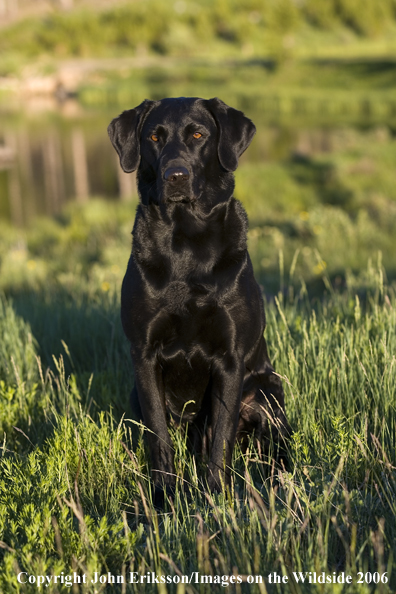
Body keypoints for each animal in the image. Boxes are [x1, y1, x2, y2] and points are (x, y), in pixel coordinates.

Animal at [108, 97, 290, 504]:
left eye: (198, 135)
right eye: (154, 137)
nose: (175, 175)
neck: (185, 239)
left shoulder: (230, 359)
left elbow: (220, 437)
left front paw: (216, 496)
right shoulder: (143, 355)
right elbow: (158, 437)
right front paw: (163, 497)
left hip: (267, 392)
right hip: (134, 393)